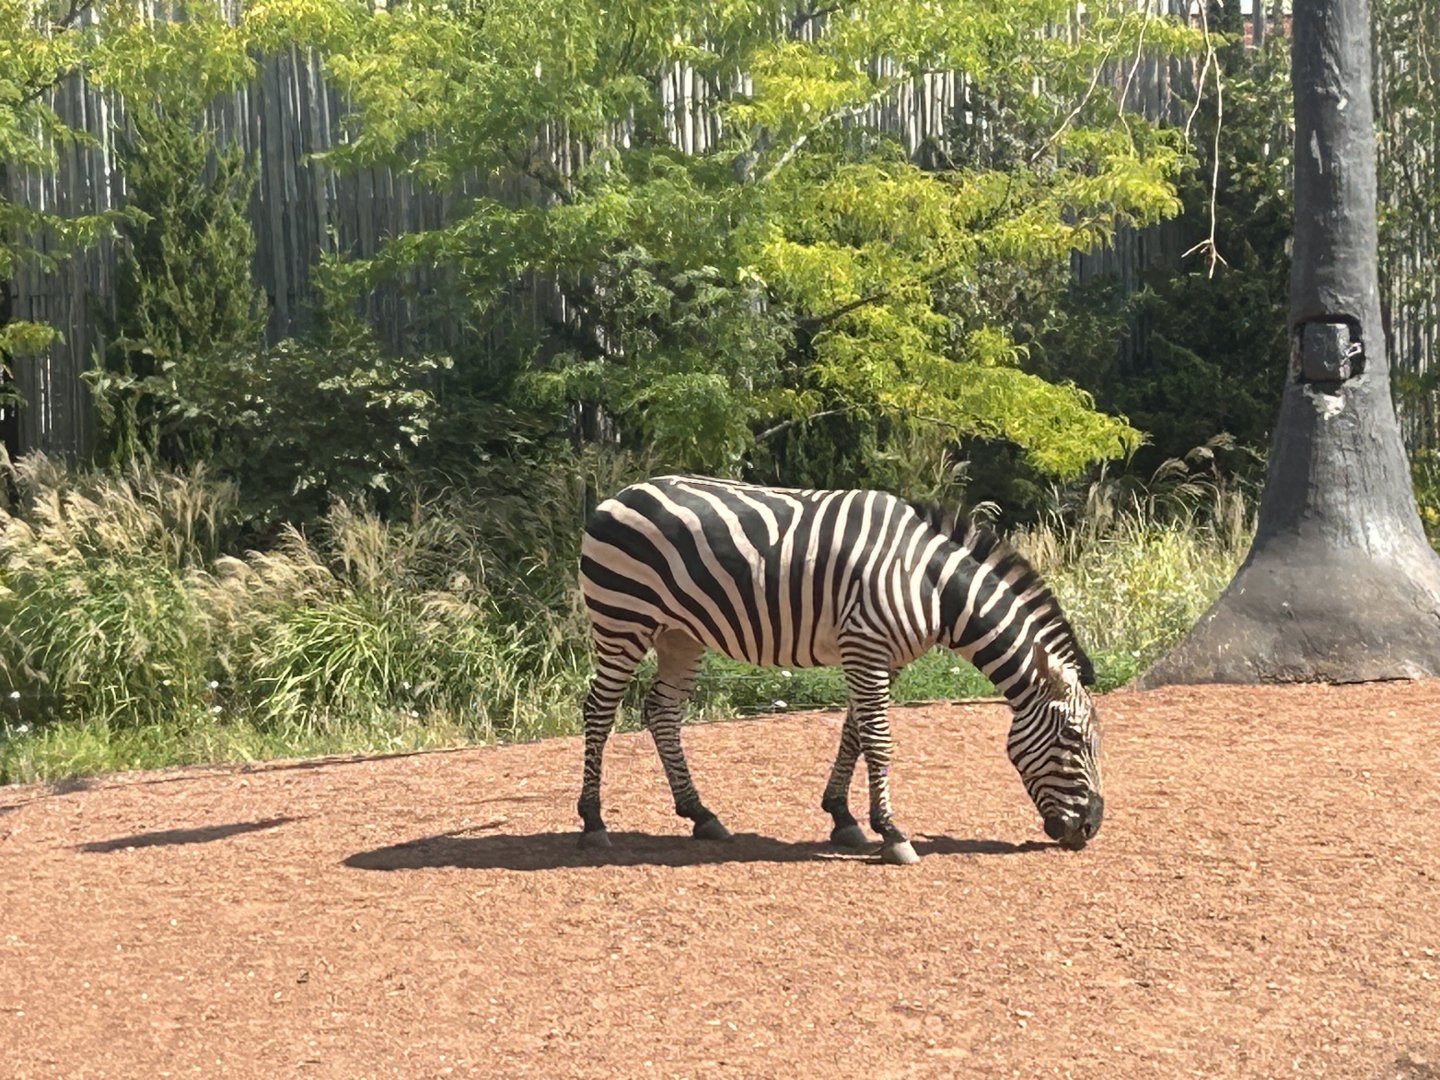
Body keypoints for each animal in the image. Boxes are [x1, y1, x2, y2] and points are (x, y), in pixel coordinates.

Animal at [576, 474, 1104, 863]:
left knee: (662, 712)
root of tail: (620, 494)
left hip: (679, 634)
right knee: (599, 710)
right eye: (1074, 738)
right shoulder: (866, 645)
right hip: (623, 619)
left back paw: (700, 813)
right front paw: (892, 832)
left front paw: (843, 817)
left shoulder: (881, 656)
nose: (1091, 827)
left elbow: (855, 732)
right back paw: (593, 821)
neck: (933, 586)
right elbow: (879, 739)